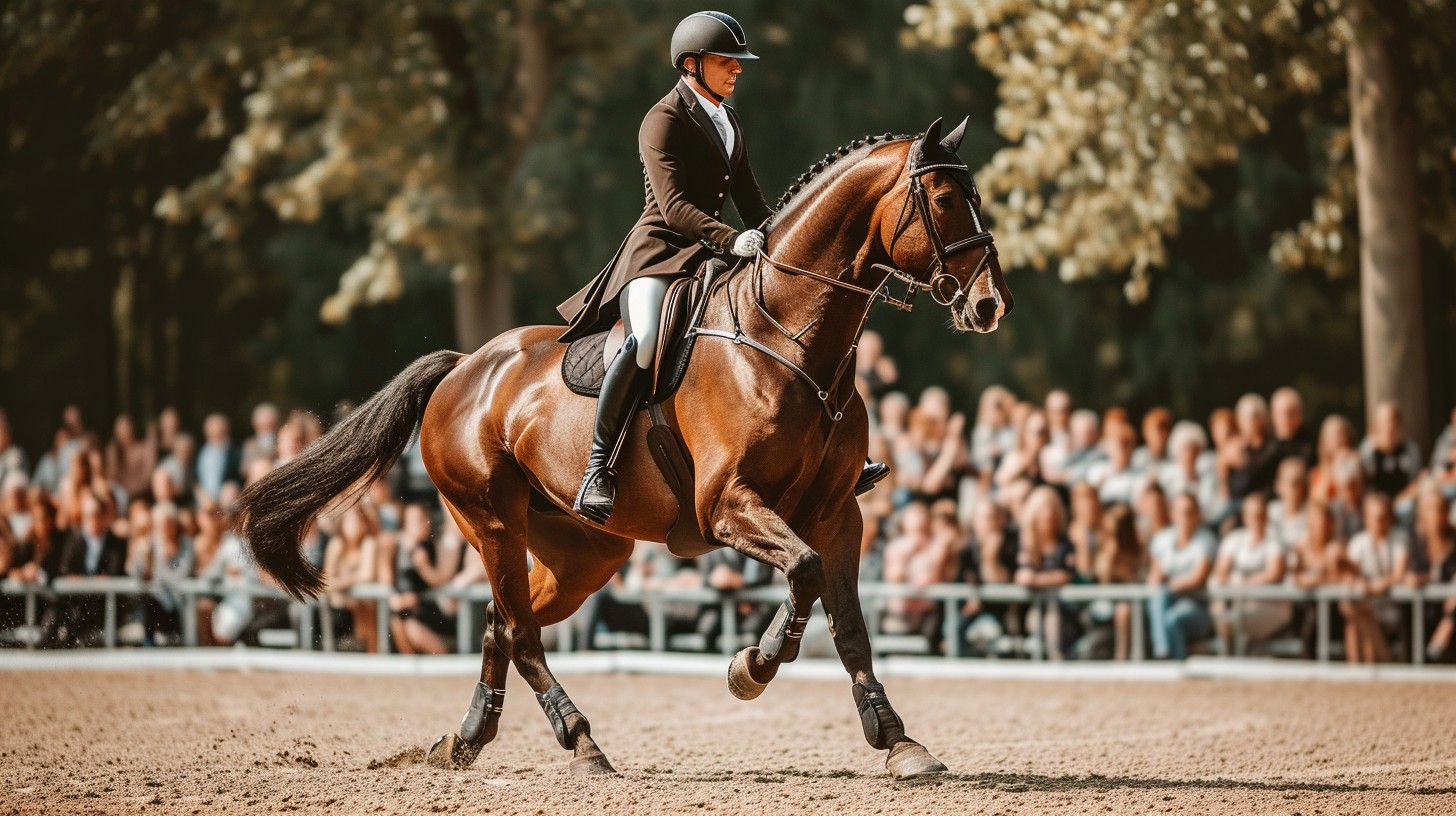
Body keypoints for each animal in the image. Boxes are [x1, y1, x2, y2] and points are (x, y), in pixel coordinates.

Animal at [234, 115, 1012, 780]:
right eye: (946, 198)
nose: (989, 306)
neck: (788, 339)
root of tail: (463, 368)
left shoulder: (836, 514)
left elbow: (846, 619)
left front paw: (899, 742)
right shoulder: (729, 504)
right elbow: (803, 574)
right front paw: (754, 666)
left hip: (584, 552)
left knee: (500, 622)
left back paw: (466, 740)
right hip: (490, 517)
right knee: (520, 632)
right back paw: (581, 742)